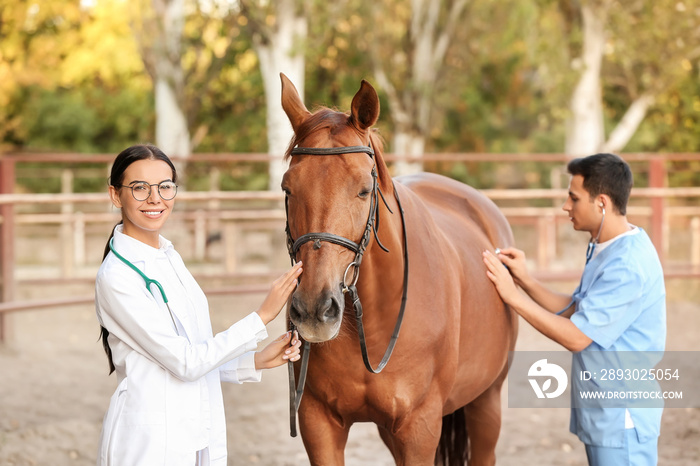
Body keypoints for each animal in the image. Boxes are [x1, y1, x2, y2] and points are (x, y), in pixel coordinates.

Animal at [282, 73, 516, 466]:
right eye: (287, 189)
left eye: (364, 190)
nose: (314, 309)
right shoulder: (318, 423)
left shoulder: (419, 426)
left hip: (487, 401)